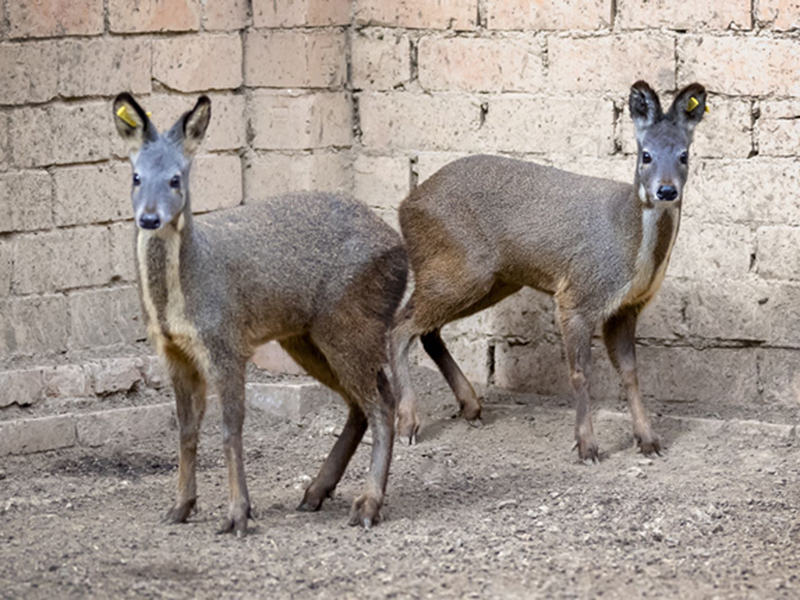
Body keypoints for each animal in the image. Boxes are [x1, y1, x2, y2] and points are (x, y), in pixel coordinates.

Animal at [112, 94, 406, 536]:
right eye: (135, 177)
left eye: (176, 179)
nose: (149, 217)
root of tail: (403, 254)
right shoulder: (173, 350)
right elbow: (186, 430)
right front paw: (180, 507)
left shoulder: (225, 342)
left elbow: (230, 429)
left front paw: (238, 515)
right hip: (305, 337)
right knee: (360, 404)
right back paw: (315, 493)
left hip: (352, 321)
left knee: (382, 403)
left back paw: (367, 505)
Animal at [392, 81, 708, 460]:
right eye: (645, 155)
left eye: (684, 155)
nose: (666, 190)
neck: (631, 247)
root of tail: (404, 207)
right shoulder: (577, 293)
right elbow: (580, 372)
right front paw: (587, 446)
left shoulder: (627, 307)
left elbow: (630, 373)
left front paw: (648, 440)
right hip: (461, 268)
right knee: (400, 326)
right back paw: (408, 424)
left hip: (494, 280)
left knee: (426, 329)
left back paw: (471, 407)